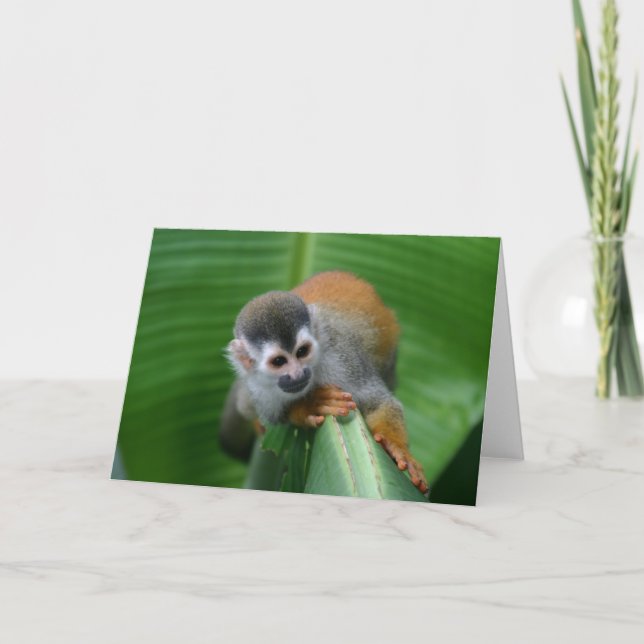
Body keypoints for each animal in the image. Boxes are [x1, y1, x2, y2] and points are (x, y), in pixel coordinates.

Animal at [220, 270, 428, 493]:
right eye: (279, 361)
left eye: (302, 351)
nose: (298, 374)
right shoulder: (258, 387)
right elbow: (276, 416)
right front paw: (310, 406)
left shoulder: (341, 359)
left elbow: (378, 401)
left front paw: (397, 447)